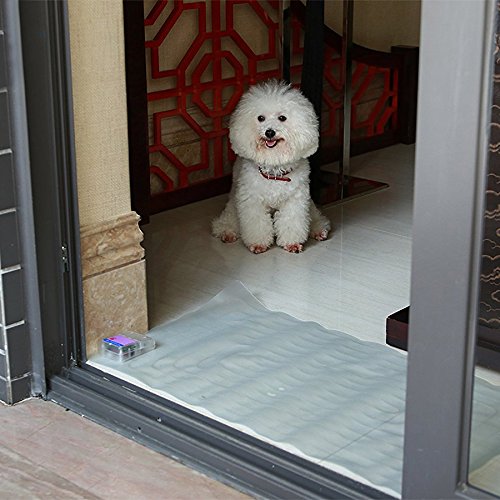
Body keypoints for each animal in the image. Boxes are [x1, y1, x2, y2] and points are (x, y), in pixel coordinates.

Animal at [212, 80, 331, 254]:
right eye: (260, 118)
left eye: (282, 118)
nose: (269, 132)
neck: (274, 165)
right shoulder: (252, 200)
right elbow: (257, 224)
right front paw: (258, 244)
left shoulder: (295, 200)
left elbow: (292, 221)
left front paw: (292, 243)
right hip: (234, 199)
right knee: (229, 217)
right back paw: (227, 232)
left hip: (309, 202)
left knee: (314, 216)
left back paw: (319, 230)